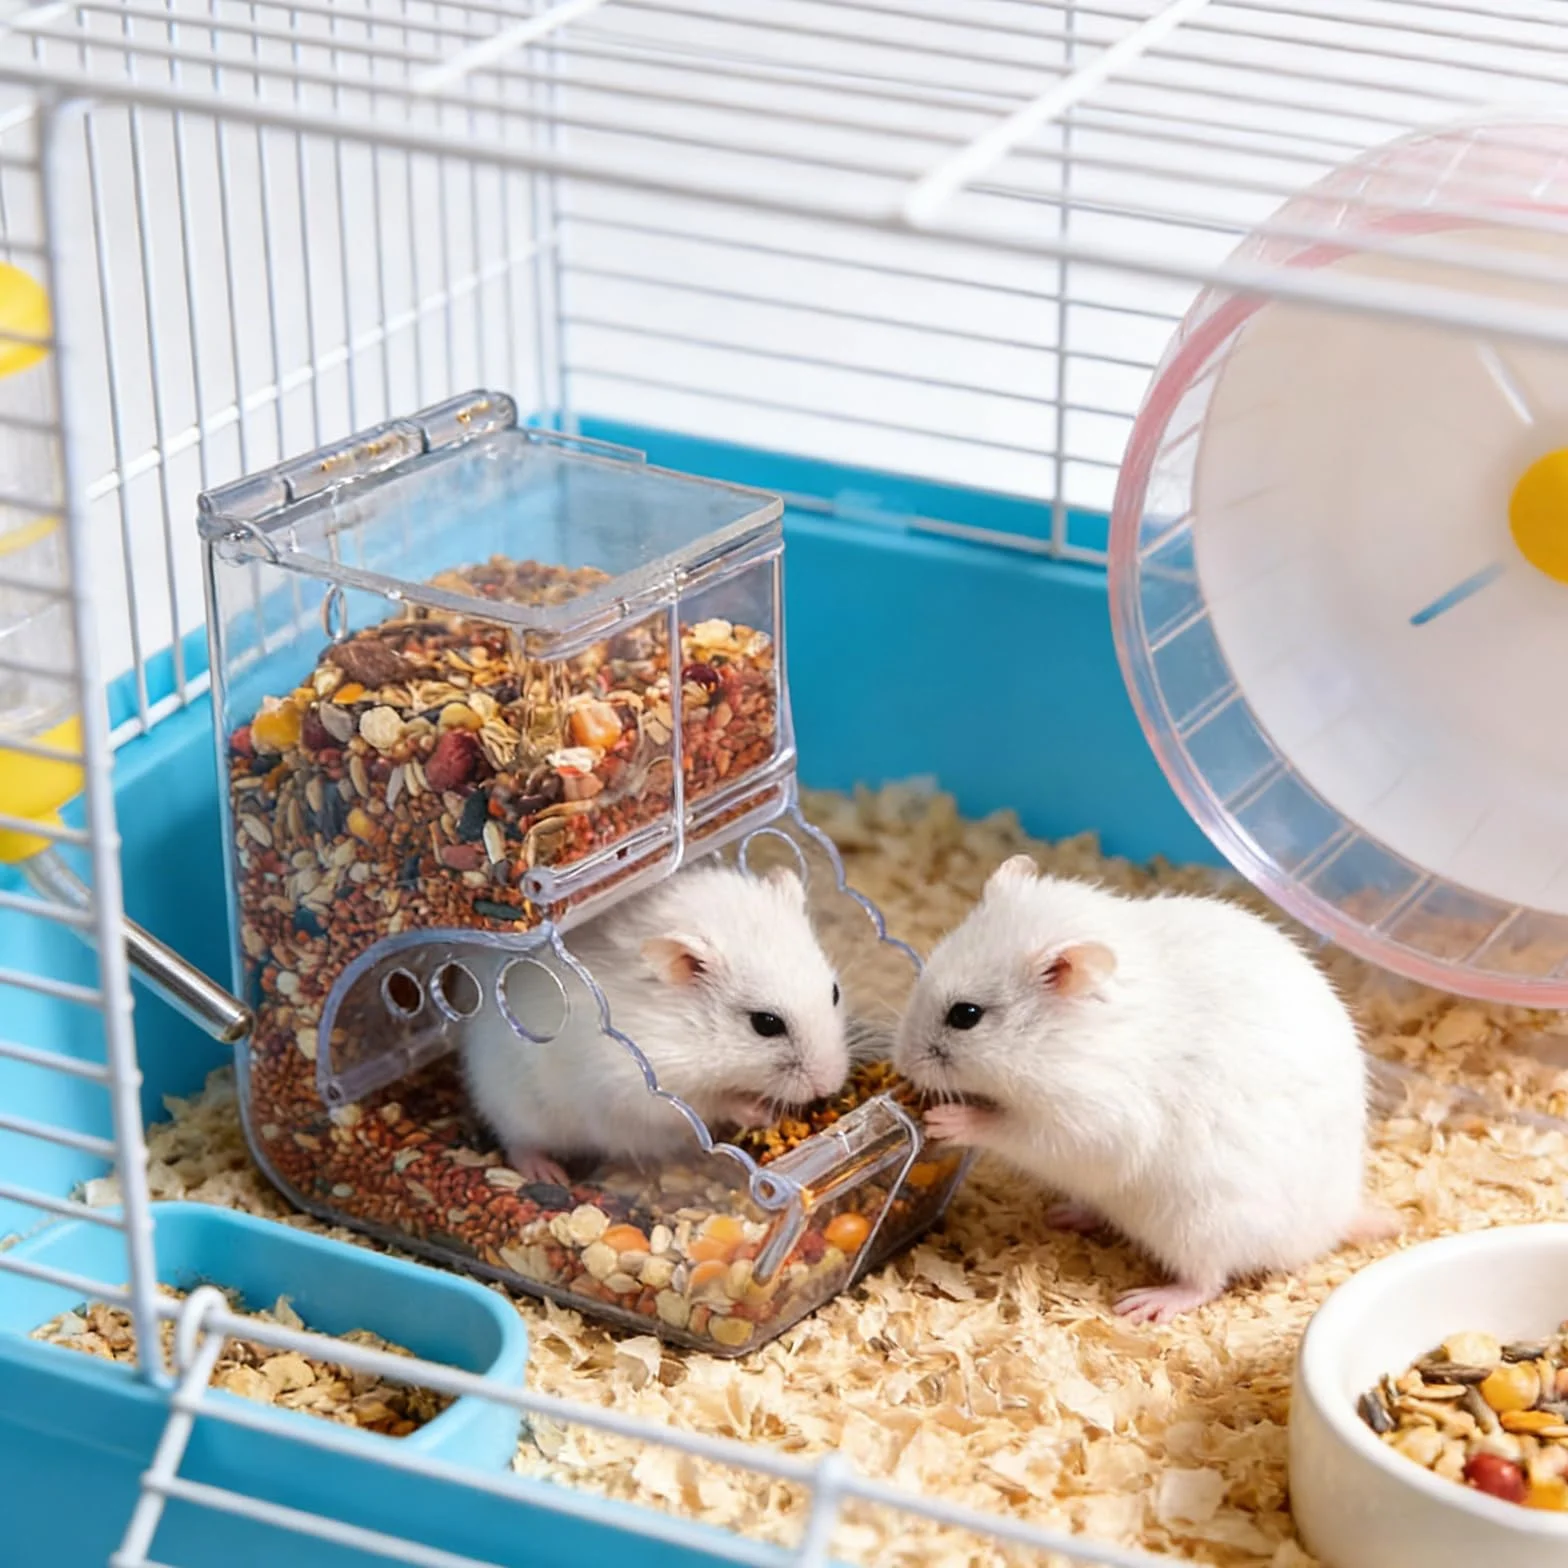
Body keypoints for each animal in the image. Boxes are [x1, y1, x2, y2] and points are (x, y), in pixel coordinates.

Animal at [460, 861, 849, 1184]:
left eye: (834, 992)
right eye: (765, 1024)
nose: (830, 1086)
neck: (690, 1031)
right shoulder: (643, 1089)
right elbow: (710, 1104)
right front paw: (760, 1113)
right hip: (518, 1108)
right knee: (517, 1142)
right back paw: (549, 1176)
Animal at [893, 854, 1396, 1324]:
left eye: (966, 1015)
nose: (903, 1066)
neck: (1055, 1039)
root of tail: (1335, 1222)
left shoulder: (1090, 1123)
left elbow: (1010, 1130)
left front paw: (946, 1119)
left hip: (1203, 1225)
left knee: (1208, 1281)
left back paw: (1146, 1304)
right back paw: (1066, 1215)